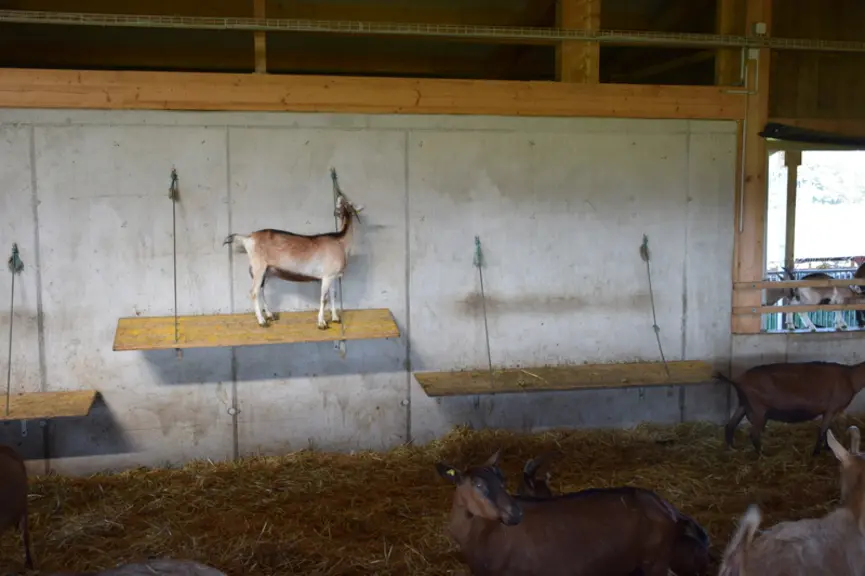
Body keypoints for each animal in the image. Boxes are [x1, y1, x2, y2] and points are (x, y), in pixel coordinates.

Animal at [224, 190, 364, 329]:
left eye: (347, 204)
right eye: (343, 202)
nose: (339, 198)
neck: (340, 242)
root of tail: (248, 238)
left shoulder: (333, 276)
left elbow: (334, 295)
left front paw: (335, 318)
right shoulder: (327, 276)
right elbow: (324, 298)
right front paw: (322, 323)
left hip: (267, 271)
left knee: (261, 290)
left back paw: (270, 315)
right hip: (259, 267)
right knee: (254, 292)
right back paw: (262, 321)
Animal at [718, 361, 865, 455]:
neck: (850, 377)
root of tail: (737, 380)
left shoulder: (830, 411)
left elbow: (827, 430)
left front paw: (827, 448)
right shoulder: (831, 408)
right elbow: (822, 431)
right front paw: (816, 452)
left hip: (743, 404)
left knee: (730, 425)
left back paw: (732, 448)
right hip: (758, 409)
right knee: (753, 434)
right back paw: (763, 454)